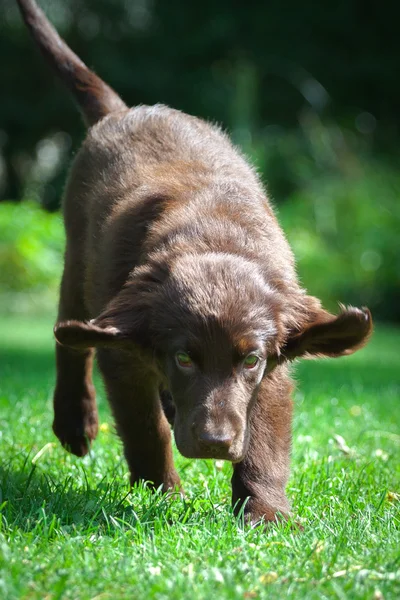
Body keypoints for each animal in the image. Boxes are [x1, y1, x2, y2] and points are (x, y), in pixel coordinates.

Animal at [15, 0, 372, 524]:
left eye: (249, 360)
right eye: (183, 357)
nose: (214, 444)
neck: (212, 237)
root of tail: (125, 110)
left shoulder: (274, 360)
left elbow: (264, 439)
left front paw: (265, 512)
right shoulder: (124, 352)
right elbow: (145, 427)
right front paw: (162, 492)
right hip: (78, 255)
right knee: (70, 339)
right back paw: (76, 421)